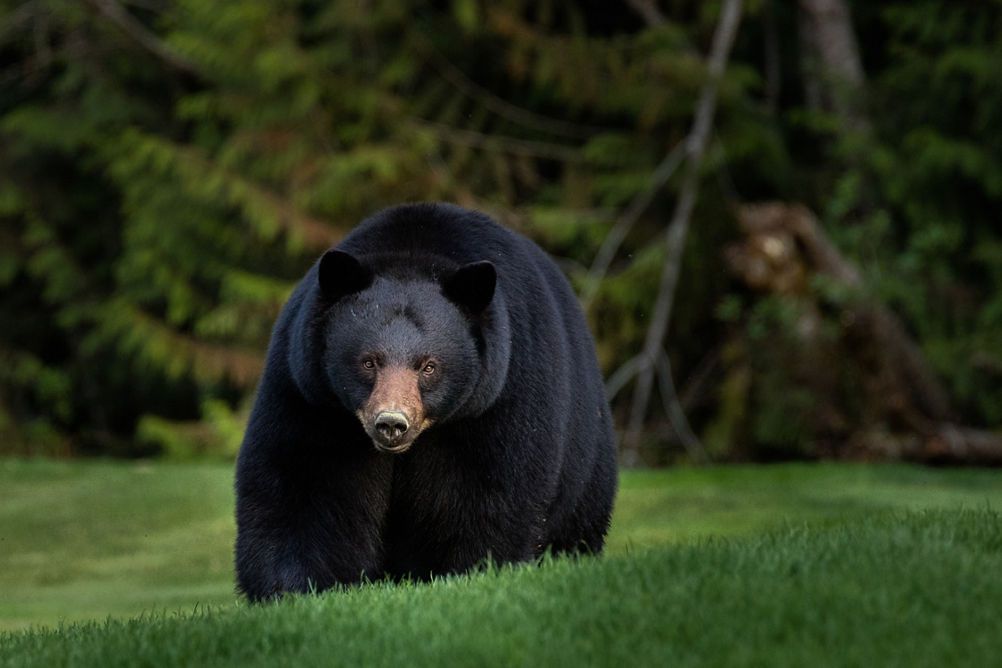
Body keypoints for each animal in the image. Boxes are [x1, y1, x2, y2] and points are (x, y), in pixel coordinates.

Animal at [234, 202, 617, 600]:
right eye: (369, 361)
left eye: (428, 366)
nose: (391, 423)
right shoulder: (311, 397)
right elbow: (302, 485)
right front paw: (295, 588)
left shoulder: (504, 394)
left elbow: (491, 491)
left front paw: (469, 573)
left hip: (587, 455)